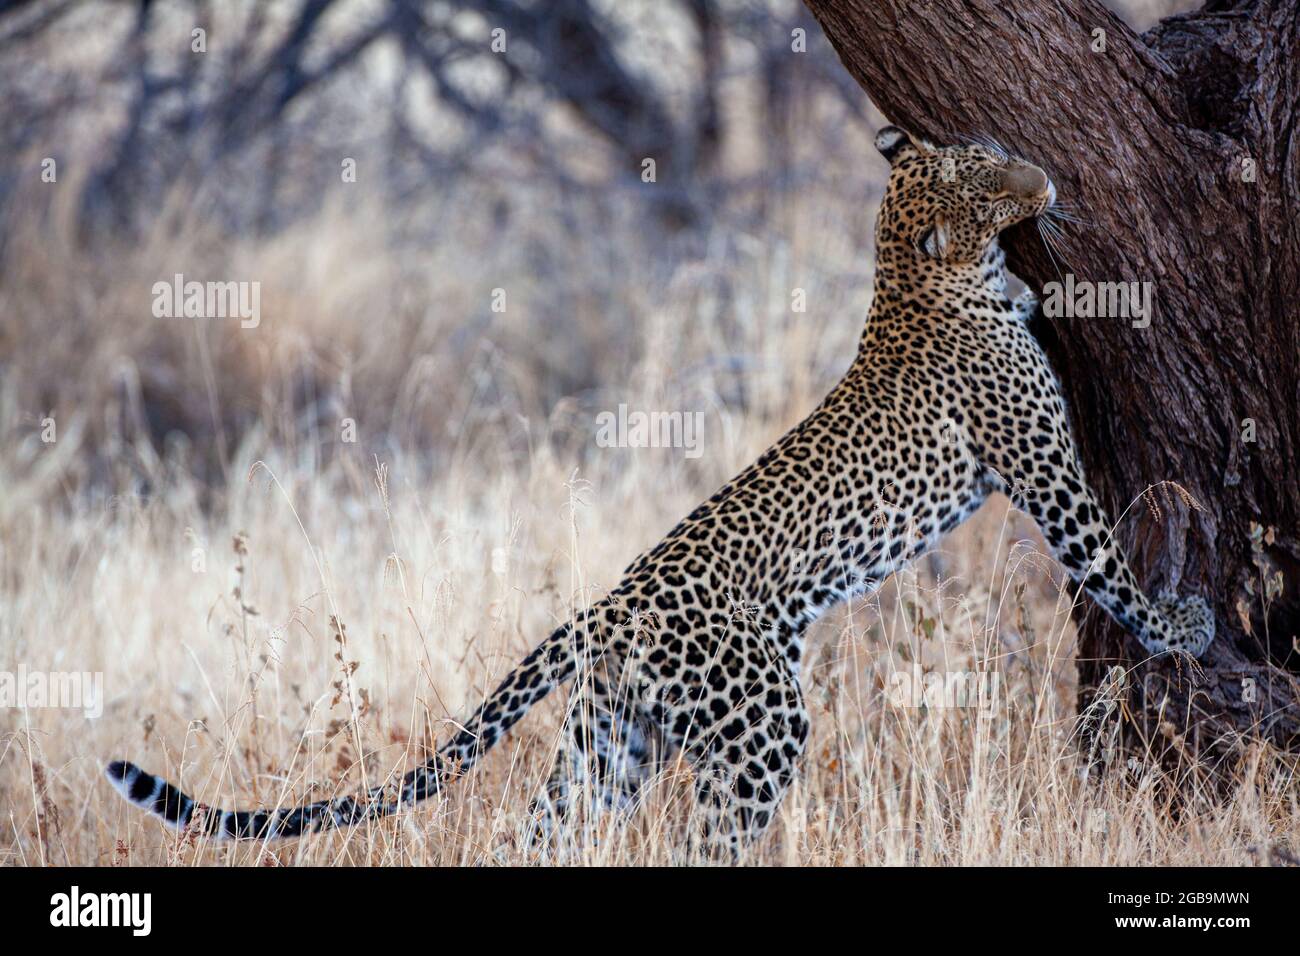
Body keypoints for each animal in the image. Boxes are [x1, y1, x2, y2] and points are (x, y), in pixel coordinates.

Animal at [107, 125, 1215, 854]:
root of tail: (604, 607)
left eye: (989, 151)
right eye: (985, 187)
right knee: (707, 839)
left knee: (537, 837)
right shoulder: (1041, 469)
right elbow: (1107, 561)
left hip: (611, 744)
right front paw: (1183, 626)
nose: (1045, 174)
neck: (919, 278)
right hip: (757, 718)